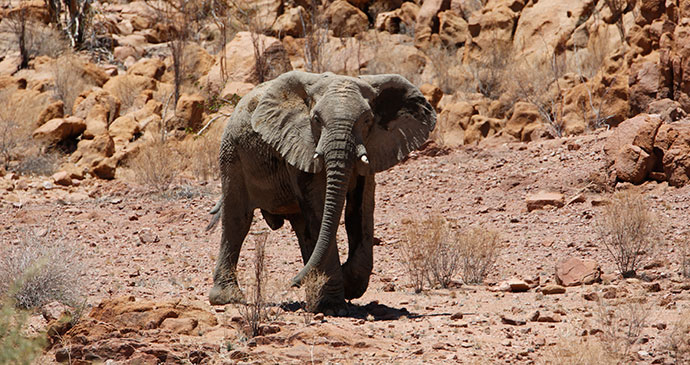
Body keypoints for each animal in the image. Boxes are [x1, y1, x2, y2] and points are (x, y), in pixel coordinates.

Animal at [207, 71, 436, 312]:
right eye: (316, 119)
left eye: (367, 120)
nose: (292, 282)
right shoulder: (299, 142)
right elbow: (319, 206)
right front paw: (332, 306)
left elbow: (361, 208)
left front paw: (348, 286)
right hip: (231, 153)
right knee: (238, 219)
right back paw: (227, 298)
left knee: (303, 229)